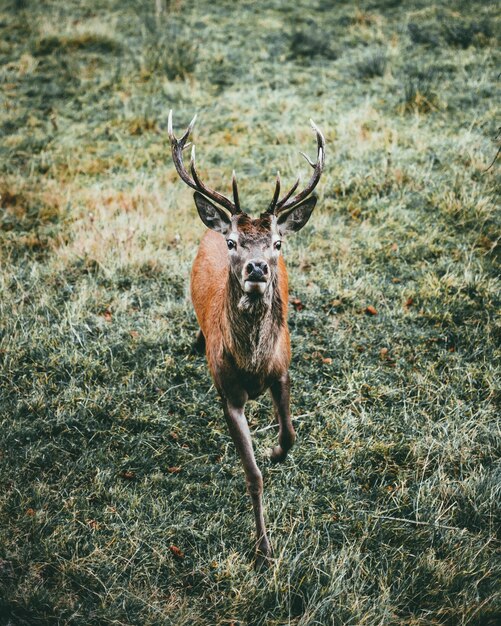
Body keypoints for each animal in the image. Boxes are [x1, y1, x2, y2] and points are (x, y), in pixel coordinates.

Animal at [168, 109, 324, 564]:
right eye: (234, 242)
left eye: (277, 242)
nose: (257, 268)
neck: (253, 364)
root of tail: (209, 224)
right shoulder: (227, 393)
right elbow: (252, 475)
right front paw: (263, 548)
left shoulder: (284, 367)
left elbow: (290, 433)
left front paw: (274, 451)